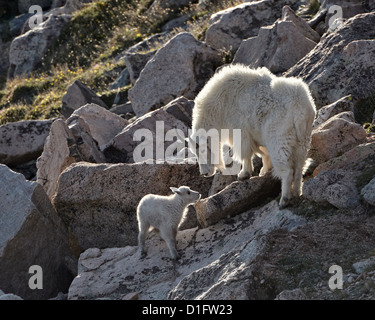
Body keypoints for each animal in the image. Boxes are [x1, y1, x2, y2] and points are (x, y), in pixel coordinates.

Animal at [191, 64, 318, 209]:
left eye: (200, 150)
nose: (205, 173)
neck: (219, 106)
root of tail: (300, 110)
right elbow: (263, 153)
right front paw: (264, 171)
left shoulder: (240, 130)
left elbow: (245, 153)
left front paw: (243, 174)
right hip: (302, 139)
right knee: (299, 167)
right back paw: (297, 192)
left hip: (279, 138)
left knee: (287, 170)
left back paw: (284, 199)